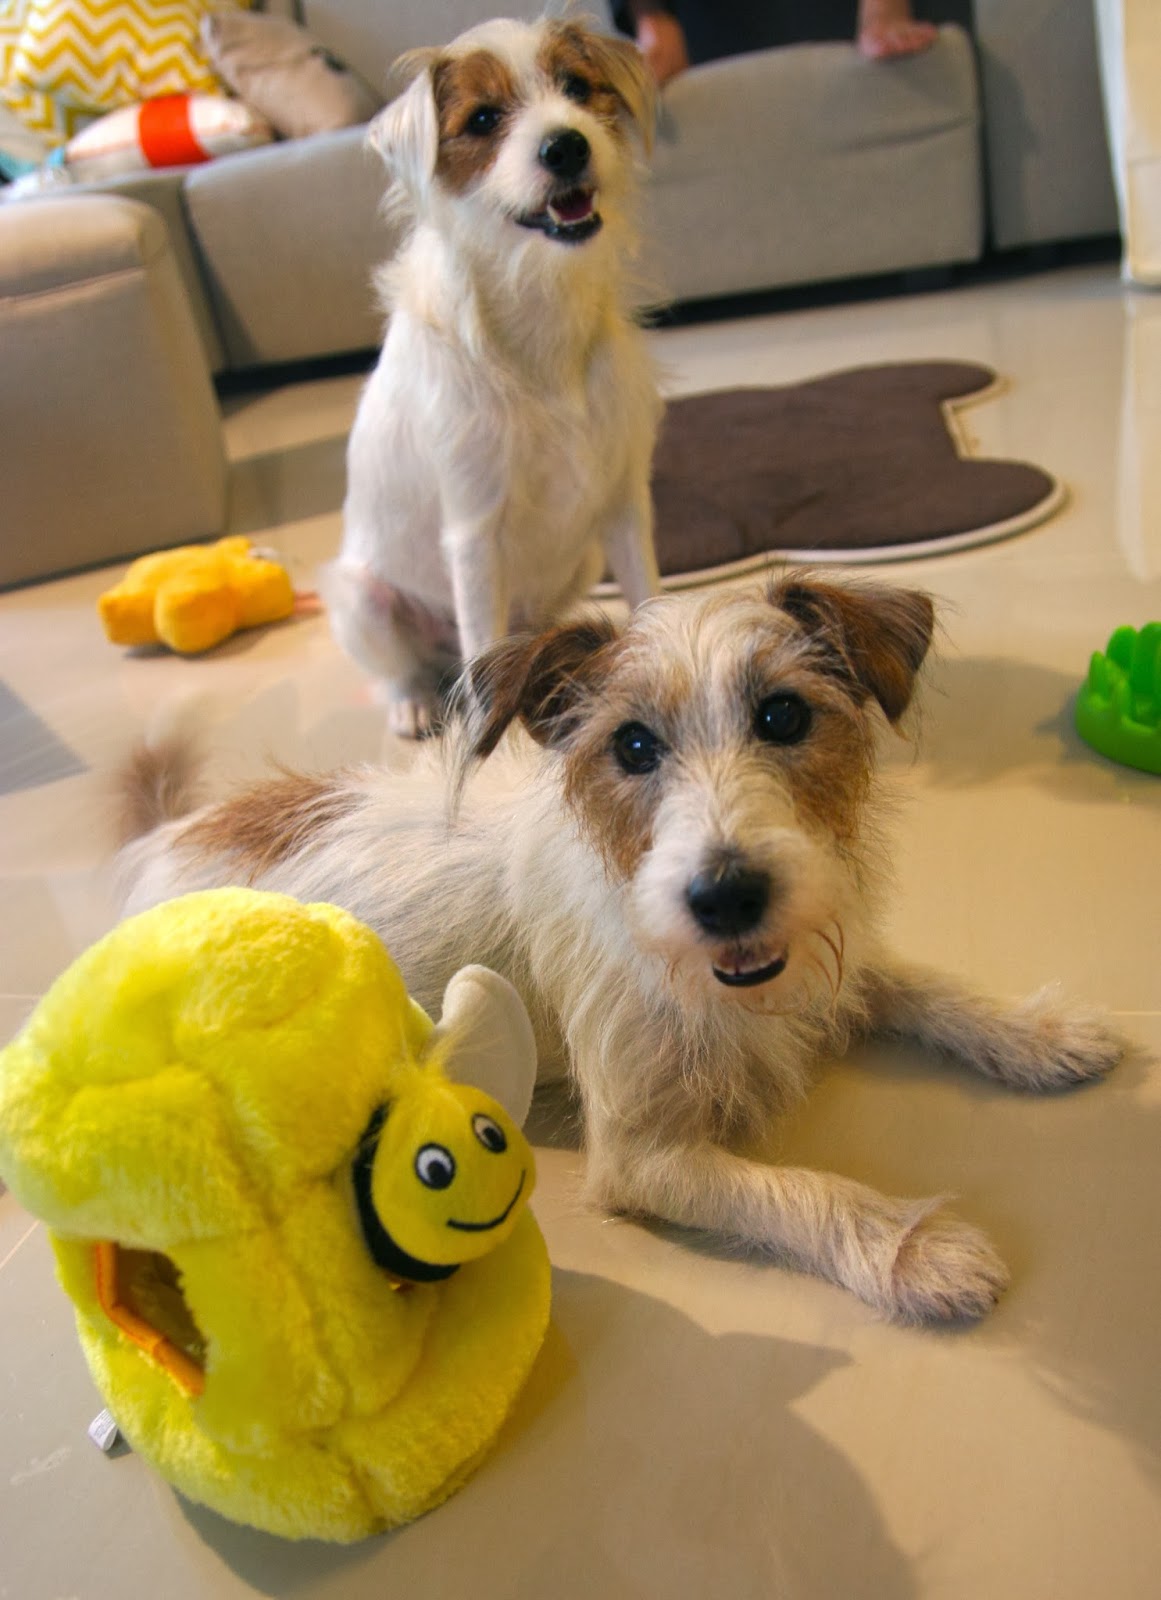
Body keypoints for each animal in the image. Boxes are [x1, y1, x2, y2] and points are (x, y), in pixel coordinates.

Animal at [118, 576, 1122, 1323]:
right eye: (632, 746)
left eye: (784, 717)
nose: (726, 896)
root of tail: (158, 847)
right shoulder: (645, 1155)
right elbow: (804, 1189)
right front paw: (917, 1249)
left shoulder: (821, 957)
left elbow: (924, 986)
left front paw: (1039, 1033)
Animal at [325, 15, 662, 738]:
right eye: (482, 118)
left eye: (576, 87)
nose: (565, 146)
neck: (538, 304)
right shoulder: (475, 531)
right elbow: (482, 643)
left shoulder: (624, 502)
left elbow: (650, 595)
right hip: (363, 596)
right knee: (413, 666)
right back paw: (414, 701)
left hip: (584, 560)